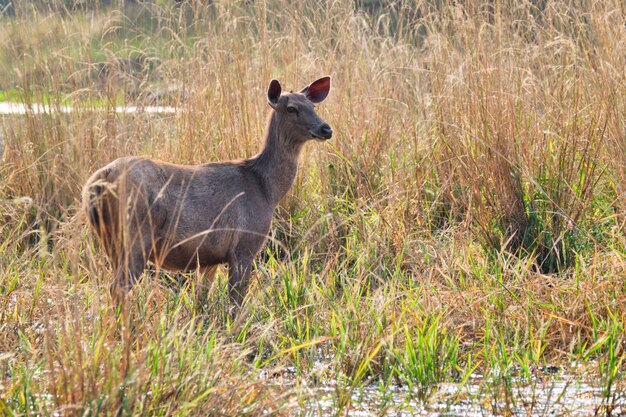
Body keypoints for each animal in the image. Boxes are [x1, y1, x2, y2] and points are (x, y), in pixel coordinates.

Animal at [83, 76, 332, 312]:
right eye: (291, 108)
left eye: (313, 105)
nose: (326, 129)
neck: (267, 190)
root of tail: (97, 182)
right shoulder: (245, 245)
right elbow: (236, 302)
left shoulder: (209, 257)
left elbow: (201, 301)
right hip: (134, 235)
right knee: (118, 288)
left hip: (109, 241)